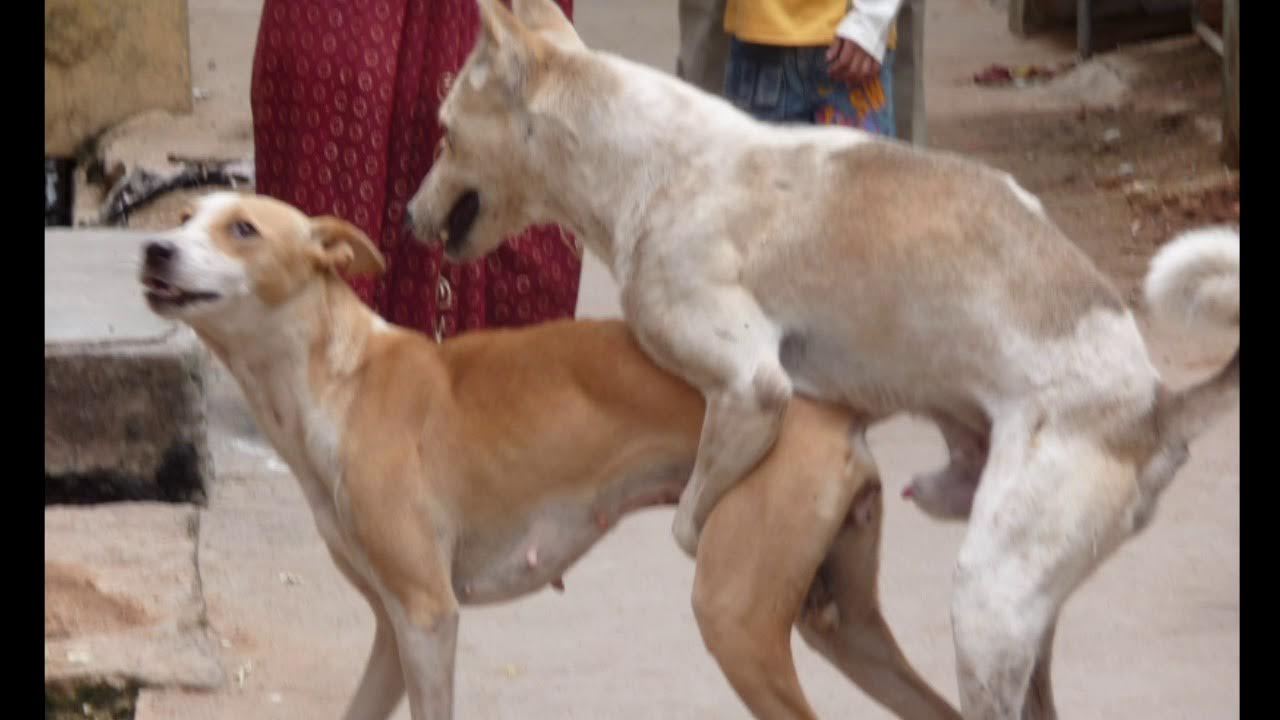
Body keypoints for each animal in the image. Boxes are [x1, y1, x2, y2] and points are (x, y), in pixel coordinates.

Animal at [140, 189, 962, 717]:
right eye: (183, 217)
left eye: (243, 229)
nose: (154, 247)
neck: (338, 380)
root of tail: (830, 405)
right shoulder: (391, 627)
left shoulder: (428, 617)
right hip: (845, 629)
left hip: (739, 620)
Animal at [401, 2, 1239, 712]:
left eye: (443, 133)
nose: (407, 218)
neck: (650, 161)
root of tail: (1154, 407)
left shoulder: (752, 385)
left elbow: (690, 517)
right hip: (1017, 594)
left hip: (990, 600)